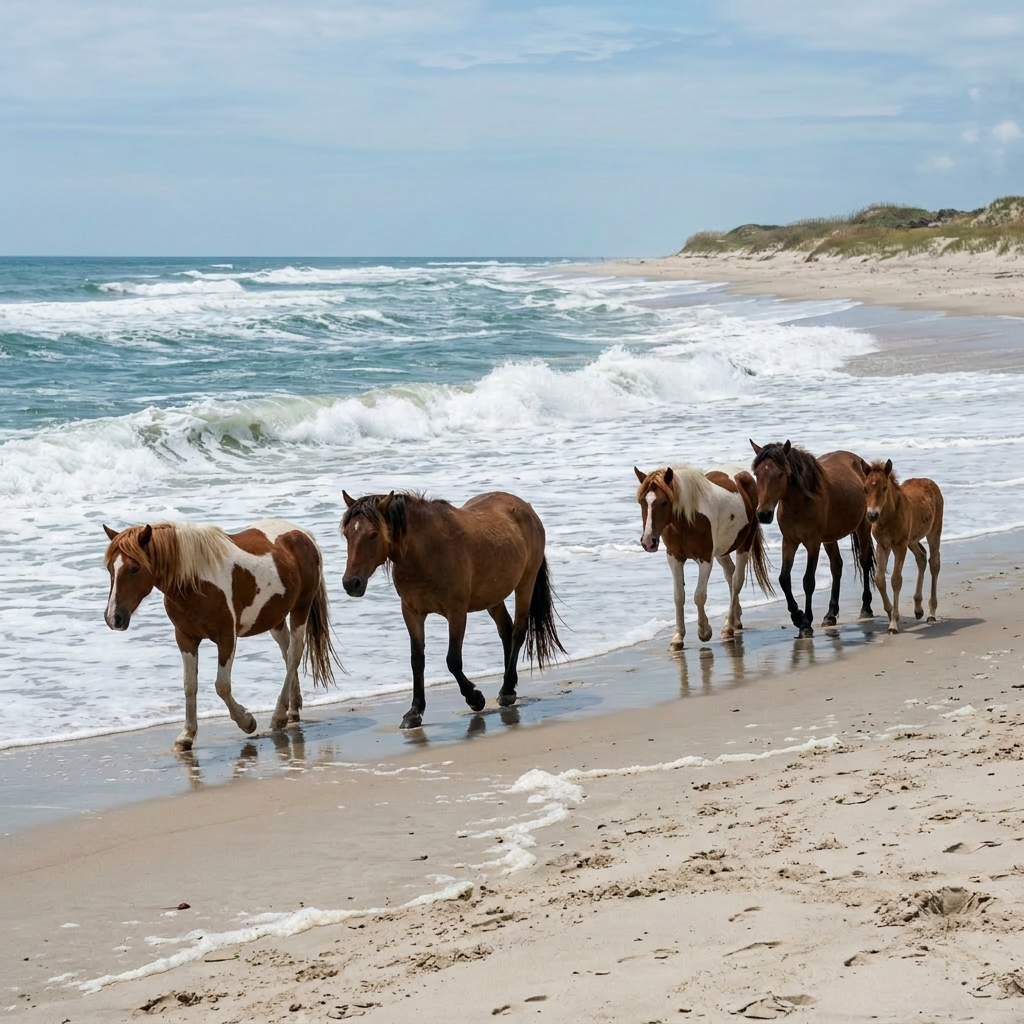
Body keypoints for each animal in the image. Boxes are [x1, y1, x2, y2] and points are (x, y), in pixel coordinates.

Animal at [102, 519, 337, 750]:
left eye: (134, 568)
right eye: (109, 568)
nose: (114, 617)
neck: (195, 583)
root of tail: (303, 534)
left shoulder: (226, 638)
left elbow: (221, 686)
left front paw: (247, 722)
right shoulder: (185, 638)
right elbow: (190, 685)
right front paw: (186, 736)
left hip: (300, 609)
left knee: (294, 654)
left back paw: (278, 716)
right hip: (275, 619)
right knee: (287, 654)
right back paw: (292, 709)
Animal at [340, 490, 565, 729]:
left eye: (373, 534)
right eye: (346, 534)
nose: (351, 583)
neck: (426, 553)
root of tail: (526, 507)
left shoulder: (456, 612)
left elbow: (453, 661)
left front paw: (475, 699)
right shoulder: (411, 612)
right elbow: (417, 661)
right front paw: (414, 712)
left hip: (525, 584)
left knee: (518, 632)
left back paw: (506, 691)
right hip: (493, 596)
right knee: (506, 631)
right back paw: (509, 686)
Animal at [634, 464, 774, 649]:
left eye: (664, 502)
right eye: (642, 501)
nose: (648, 541)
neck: (687, 520)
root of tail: (743, 474)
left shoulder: (705, 559)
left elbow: (699, 596)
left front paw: (704, 631)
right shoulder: (674, 558)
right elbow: (678, 596)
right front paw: (678, 637)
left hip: (744, 544)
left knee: (736, 580)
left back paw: (728, 627)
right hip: (722, 550)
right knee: (730, 574)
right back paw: (735, 620)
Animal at [749, 440, 874, 638]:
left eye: (780, 474)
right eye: (757, 474)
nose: (763, 514)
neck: (799, 503)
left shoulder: (813, 543)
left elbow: (808, 581)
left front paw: (806, 623)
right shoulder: (789, 542)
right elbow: (784, 579)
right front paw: (797, 616)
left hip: (863, 527)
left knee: (864, 562)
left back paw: (866, 607)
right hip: (830, 538)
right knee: (836, 566)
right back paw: (830, 615)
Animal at [862, 459, 944, 633]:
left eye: (884, 488)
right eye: (865, 489)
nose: (872, 515)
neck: (888, 517)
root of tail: (929, 481)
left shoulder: (899, 546)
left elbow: (896, 579)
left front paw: (893, 623)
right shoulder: (883, 545)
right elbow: (879, 579)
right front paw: (890, 612)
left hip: (933, 531)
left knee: (934, 562)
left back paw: (931, 613)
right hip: (911, 540)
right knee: (921, 557)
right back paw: (918, 610)